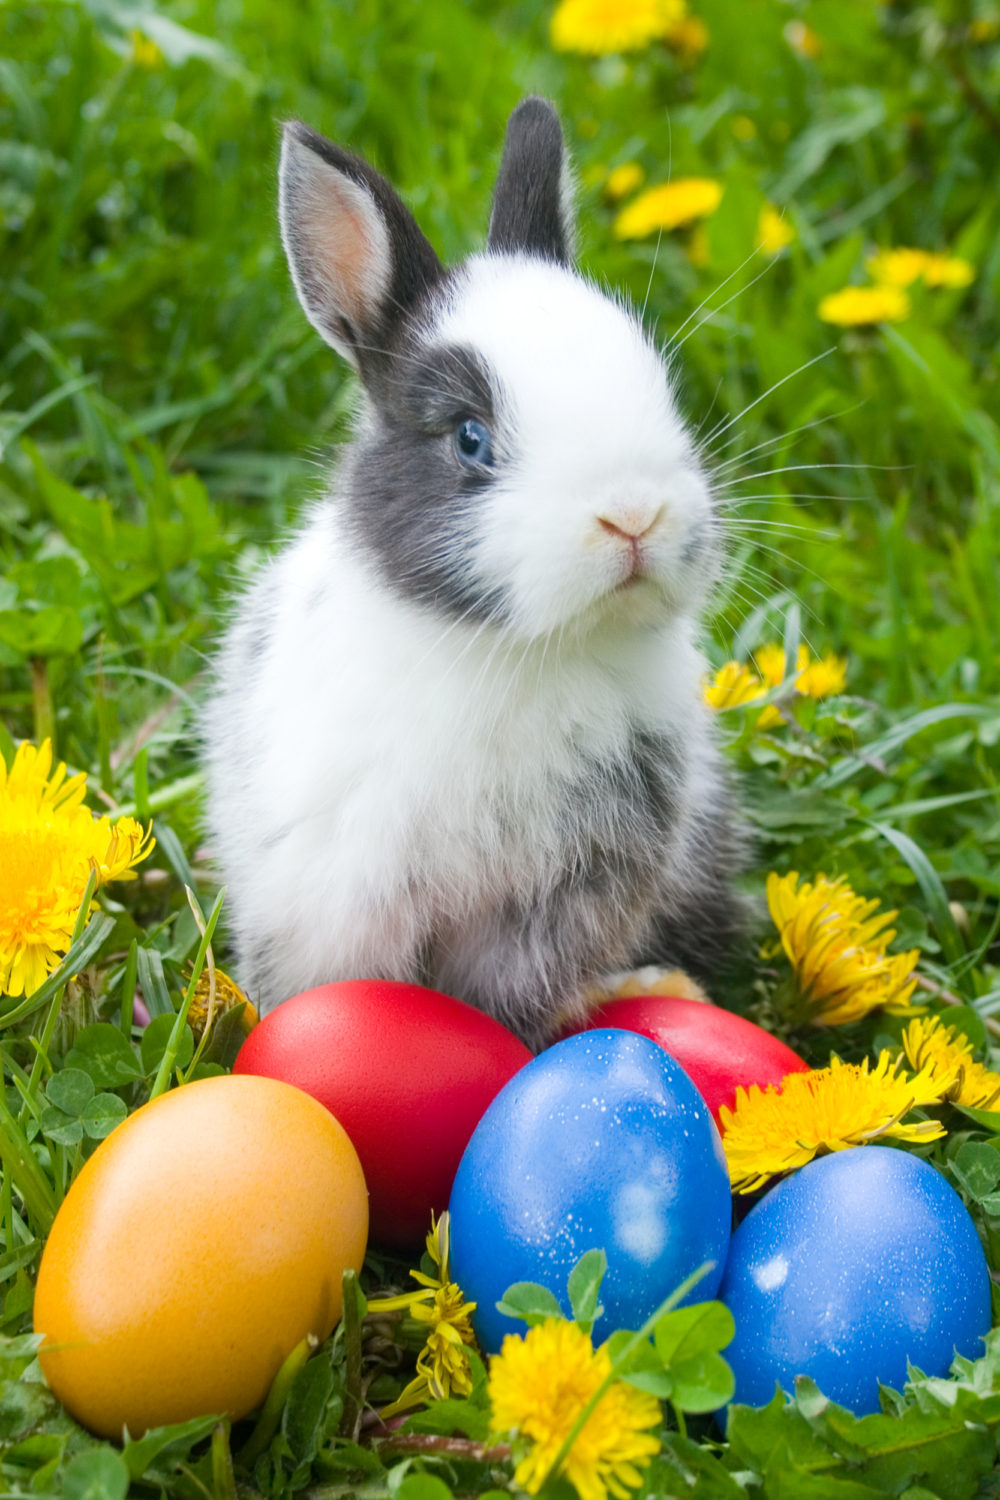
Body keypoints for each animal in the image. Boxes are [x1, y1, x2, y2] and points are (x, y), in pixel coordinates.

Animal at [202, 97, 745, 1052]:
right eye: (469, 438)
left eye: (664, 392)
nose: (634, 515)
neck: (522, 652)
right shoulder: (348, 889)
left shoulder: (566, 894)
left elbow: (508, 997)